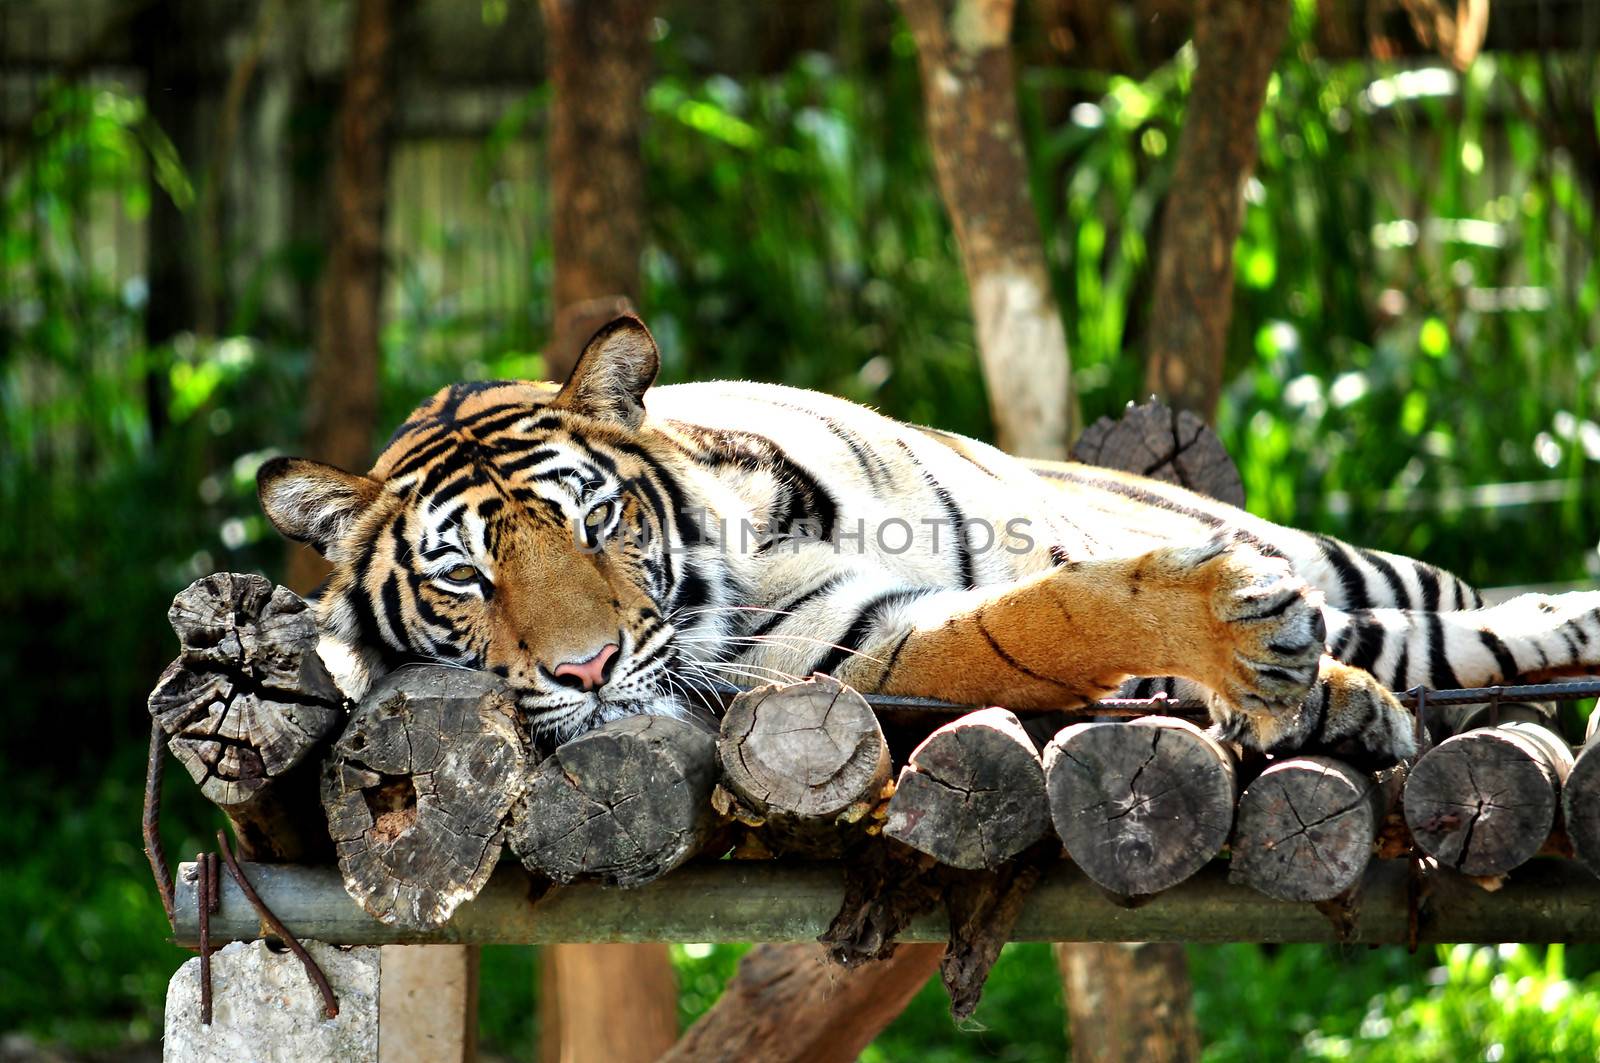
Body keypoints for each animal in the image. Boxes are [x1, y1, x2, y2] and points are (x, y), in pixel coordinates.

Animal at [256, 315, 1600, 765]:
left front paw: (1267, 652)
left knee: (1455, 611)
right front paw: (1251, 647)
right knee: (1442, 645)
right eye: (465, 577)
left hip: (1350, 560)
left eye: (597, 520)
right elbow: (1045, 615)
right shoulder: (858, 656)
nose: (586, 669)